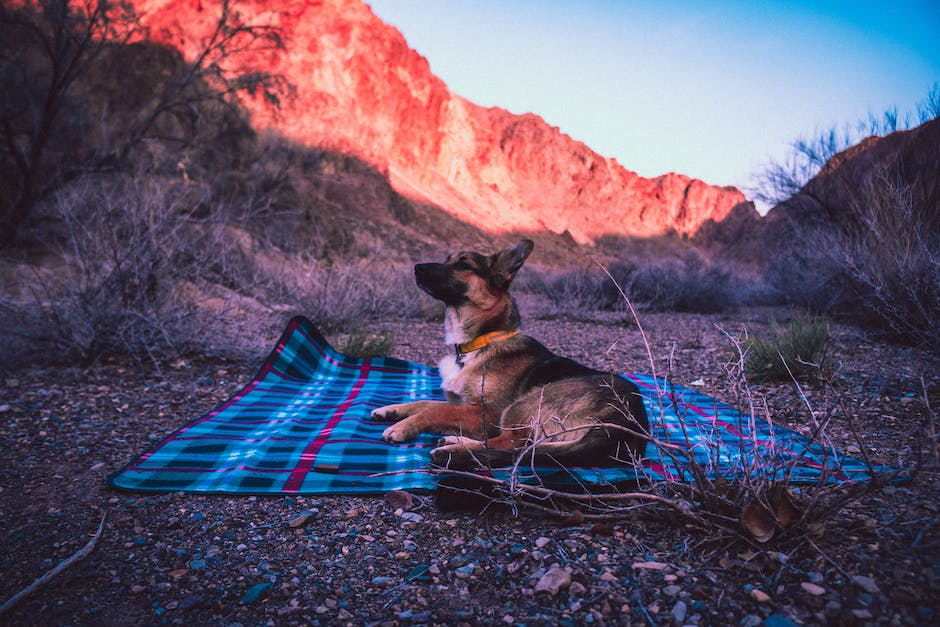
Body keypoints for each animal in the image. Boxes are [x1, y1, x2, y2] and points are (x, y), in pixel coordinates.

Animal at [370, 240, 648, 472]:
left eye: (463, 264)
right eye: (447, 258)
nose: (417, 267)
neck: (478, 345)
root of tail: (631, 423)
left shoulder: (490, 413)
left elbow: (436, 411)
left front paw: (402, 427)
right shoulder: (464, 403)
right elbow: (428, 403)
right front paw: (392, 410)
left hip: (527, 403)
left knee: (515, 443)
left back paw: (453, 448)